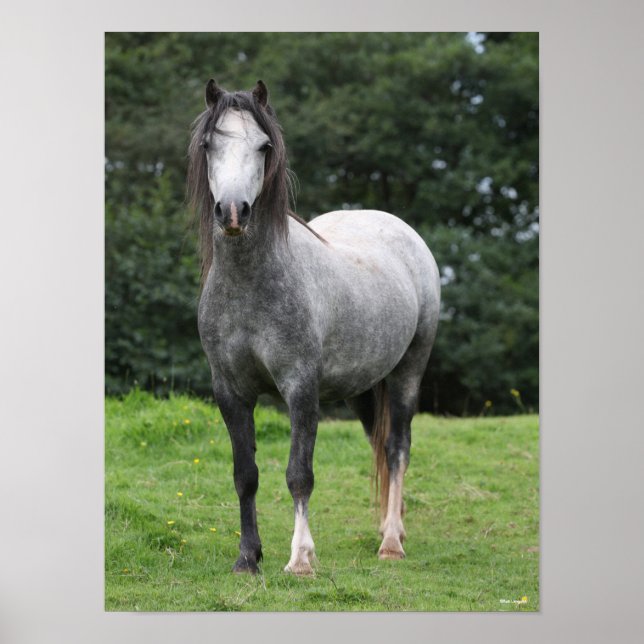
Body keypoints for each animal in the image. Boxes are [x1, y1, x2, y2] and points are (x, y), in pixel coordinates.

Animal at [187, 79, 441, 575]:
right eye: (209, 145)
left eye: (263, 146)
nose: (233, 212)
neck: (251, 287)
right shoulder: (230, 391)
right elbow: (245, 475)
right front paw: (248, 558)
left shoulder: (300, 388)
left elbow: (298, 474)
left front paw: (301, 558)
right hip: (365, 386)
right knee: (379, 445)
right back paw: (390, 528)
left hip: (408, 372)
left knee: (397, 448)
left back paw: (391, 542)